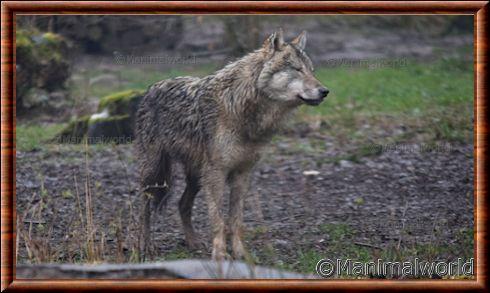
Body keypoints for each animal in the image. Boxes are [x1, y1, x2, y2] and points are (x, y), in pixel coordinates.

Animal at [134, 29, 330, 258]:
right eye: (297, 70)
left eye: (312, 71)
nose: (325, 91)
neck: (242, 108)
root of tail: (152, 87)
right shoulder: (216, 173)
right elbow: (218, 220)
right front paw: (220, 254)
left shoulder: (242, 173)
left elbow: (235, 220)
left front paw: (240, 253)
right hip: (155, 172)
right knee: (144, 207)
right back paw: (145, 245)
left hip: (196, 176)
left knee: (182, 204)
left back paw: (193, 242)